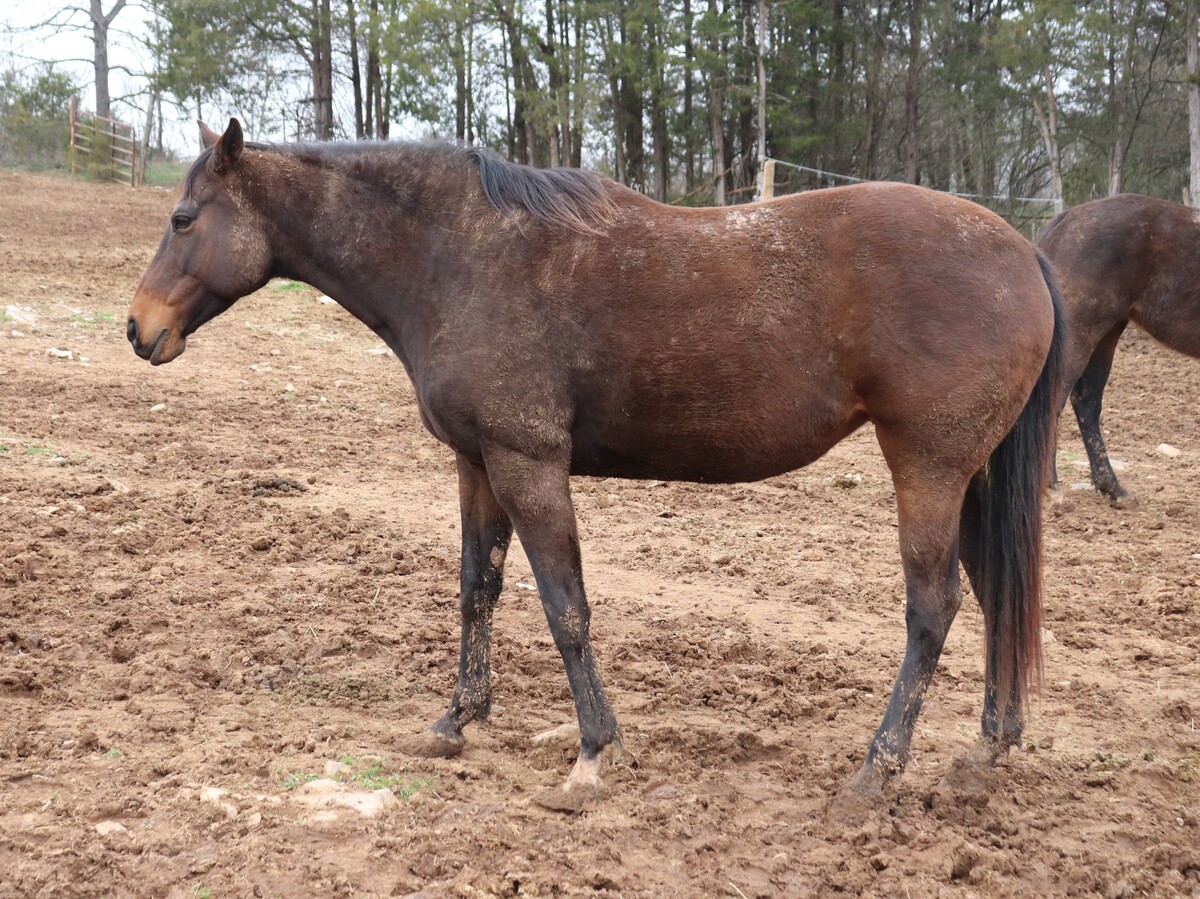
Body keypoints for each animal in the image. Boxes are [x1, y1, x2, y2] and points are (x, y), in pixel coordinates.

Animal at [127, 118, 1065, 809]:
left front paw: (589, 756)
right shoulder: (478, 464)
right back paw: (988, 747)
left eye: (184, 219)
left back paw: (876, 770)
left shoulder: (530, 463)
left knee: (933, 608)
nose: (138, 329)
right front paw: (455, 720)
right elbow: (477, 589)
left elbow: (564, 606)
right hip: (971, 479)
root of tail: (1023, 253)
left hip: (929, 469)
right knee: (995, 596)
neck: (460, 255)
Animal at [1039, 193, 1200, 505]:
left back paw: (1111, 487)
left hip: (1107, 334)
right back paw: (1050, 487)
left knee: (1087, 403)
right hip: (1082, 333)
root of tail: (1066, 220)